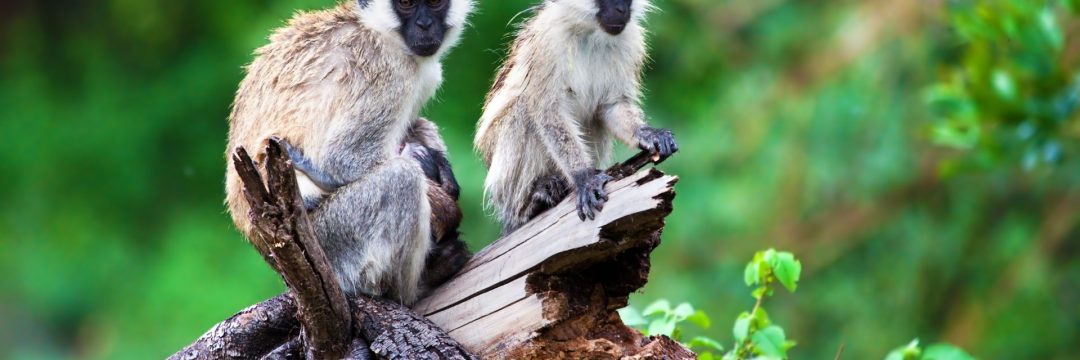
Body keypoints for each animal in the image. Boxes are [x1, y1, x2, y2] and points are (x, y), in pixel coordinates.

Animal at [226, 0, 473, 304]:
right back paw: (414, 288)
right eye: (405, 4)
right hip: (332, 243)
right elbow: (342, 160)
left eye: (435, 3)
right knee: (400, 178)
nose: (424, 25)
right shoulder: (390, 73)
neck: (378, 30)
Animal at [477, 0, 678, 232]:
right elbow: (548, 113)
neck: (589, 33)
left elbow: (612, 106)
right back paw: (529, 204)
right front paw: (584, 178)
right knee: (522, 111)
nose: (621, 10)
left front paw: (648, 134)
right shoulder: (547, 42)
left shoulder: (630, 42)